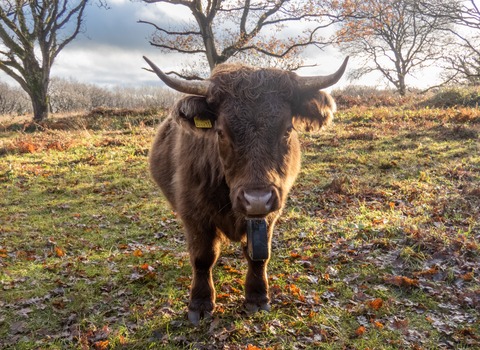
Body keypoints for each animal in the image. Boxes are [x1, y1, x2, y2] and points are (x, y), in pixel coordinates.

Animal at [144, 56, 346, 324]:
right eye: (221, 132)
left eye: (287, 130)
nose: (256, 200)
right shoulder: (194, 214)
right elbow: (202, 257)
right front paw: (200, 304)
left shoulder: (270, 214)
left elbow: (259, 257)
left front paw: (257, 298)